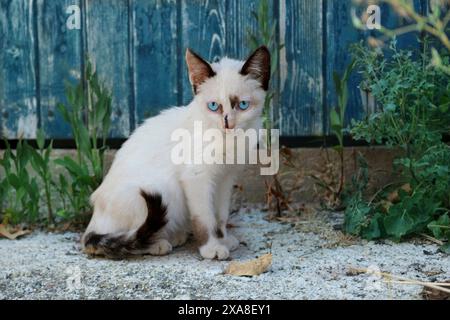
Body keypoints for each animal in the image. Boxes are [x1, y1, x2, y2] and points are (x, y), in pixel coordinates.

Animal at [82, 45, 268, 260]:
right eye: (214, 106)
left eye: (243, 105)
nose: (227, 124)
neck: (228, 141)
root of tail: (93, 221)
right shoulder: (196, 177)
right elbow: (205, 218)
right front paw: (211, 248)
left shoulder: (225, 179)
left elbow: (220, 215)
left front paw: (223, 239)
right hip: (163, 189)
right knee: (129, 235)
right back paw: (158, 243)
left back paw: (175, 236)